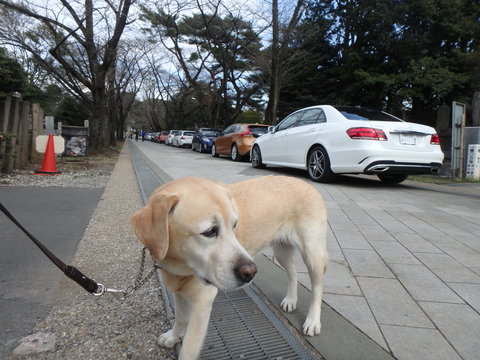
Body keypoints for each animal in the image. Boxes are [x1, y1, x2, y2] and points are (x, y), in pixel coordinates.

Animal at [131, 176, 326, 358]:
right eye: (209, 231)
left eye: (234, 225)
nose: (250, 273)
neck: (180, 266)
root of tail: (306, 183)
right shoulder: (179, 291)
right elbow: (180, 318)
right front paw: (173, 337)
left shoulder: (202, 303)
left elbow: (188, 349)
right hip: (281, 251)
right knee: (292, 271)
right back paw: (291, 300)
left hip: (312, 253)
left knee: (317, 287)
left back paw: (313, 321)